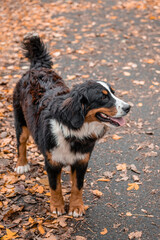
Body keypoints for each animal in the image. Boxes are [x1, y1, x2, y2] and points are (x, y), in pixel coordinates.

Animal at [13, 33, 131, 218]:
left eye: (113, 93)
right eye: (103, 97)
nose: (128, 107)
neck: (75, 131)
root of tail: (38, 68)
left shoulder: (81, 161)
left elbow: (78, 186)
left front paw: (76, 207)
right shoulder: (52, 162)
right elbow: (55, 187)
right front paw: (57, 206)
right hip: (21, 123)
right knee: (21, 143)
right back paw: (21, 164)